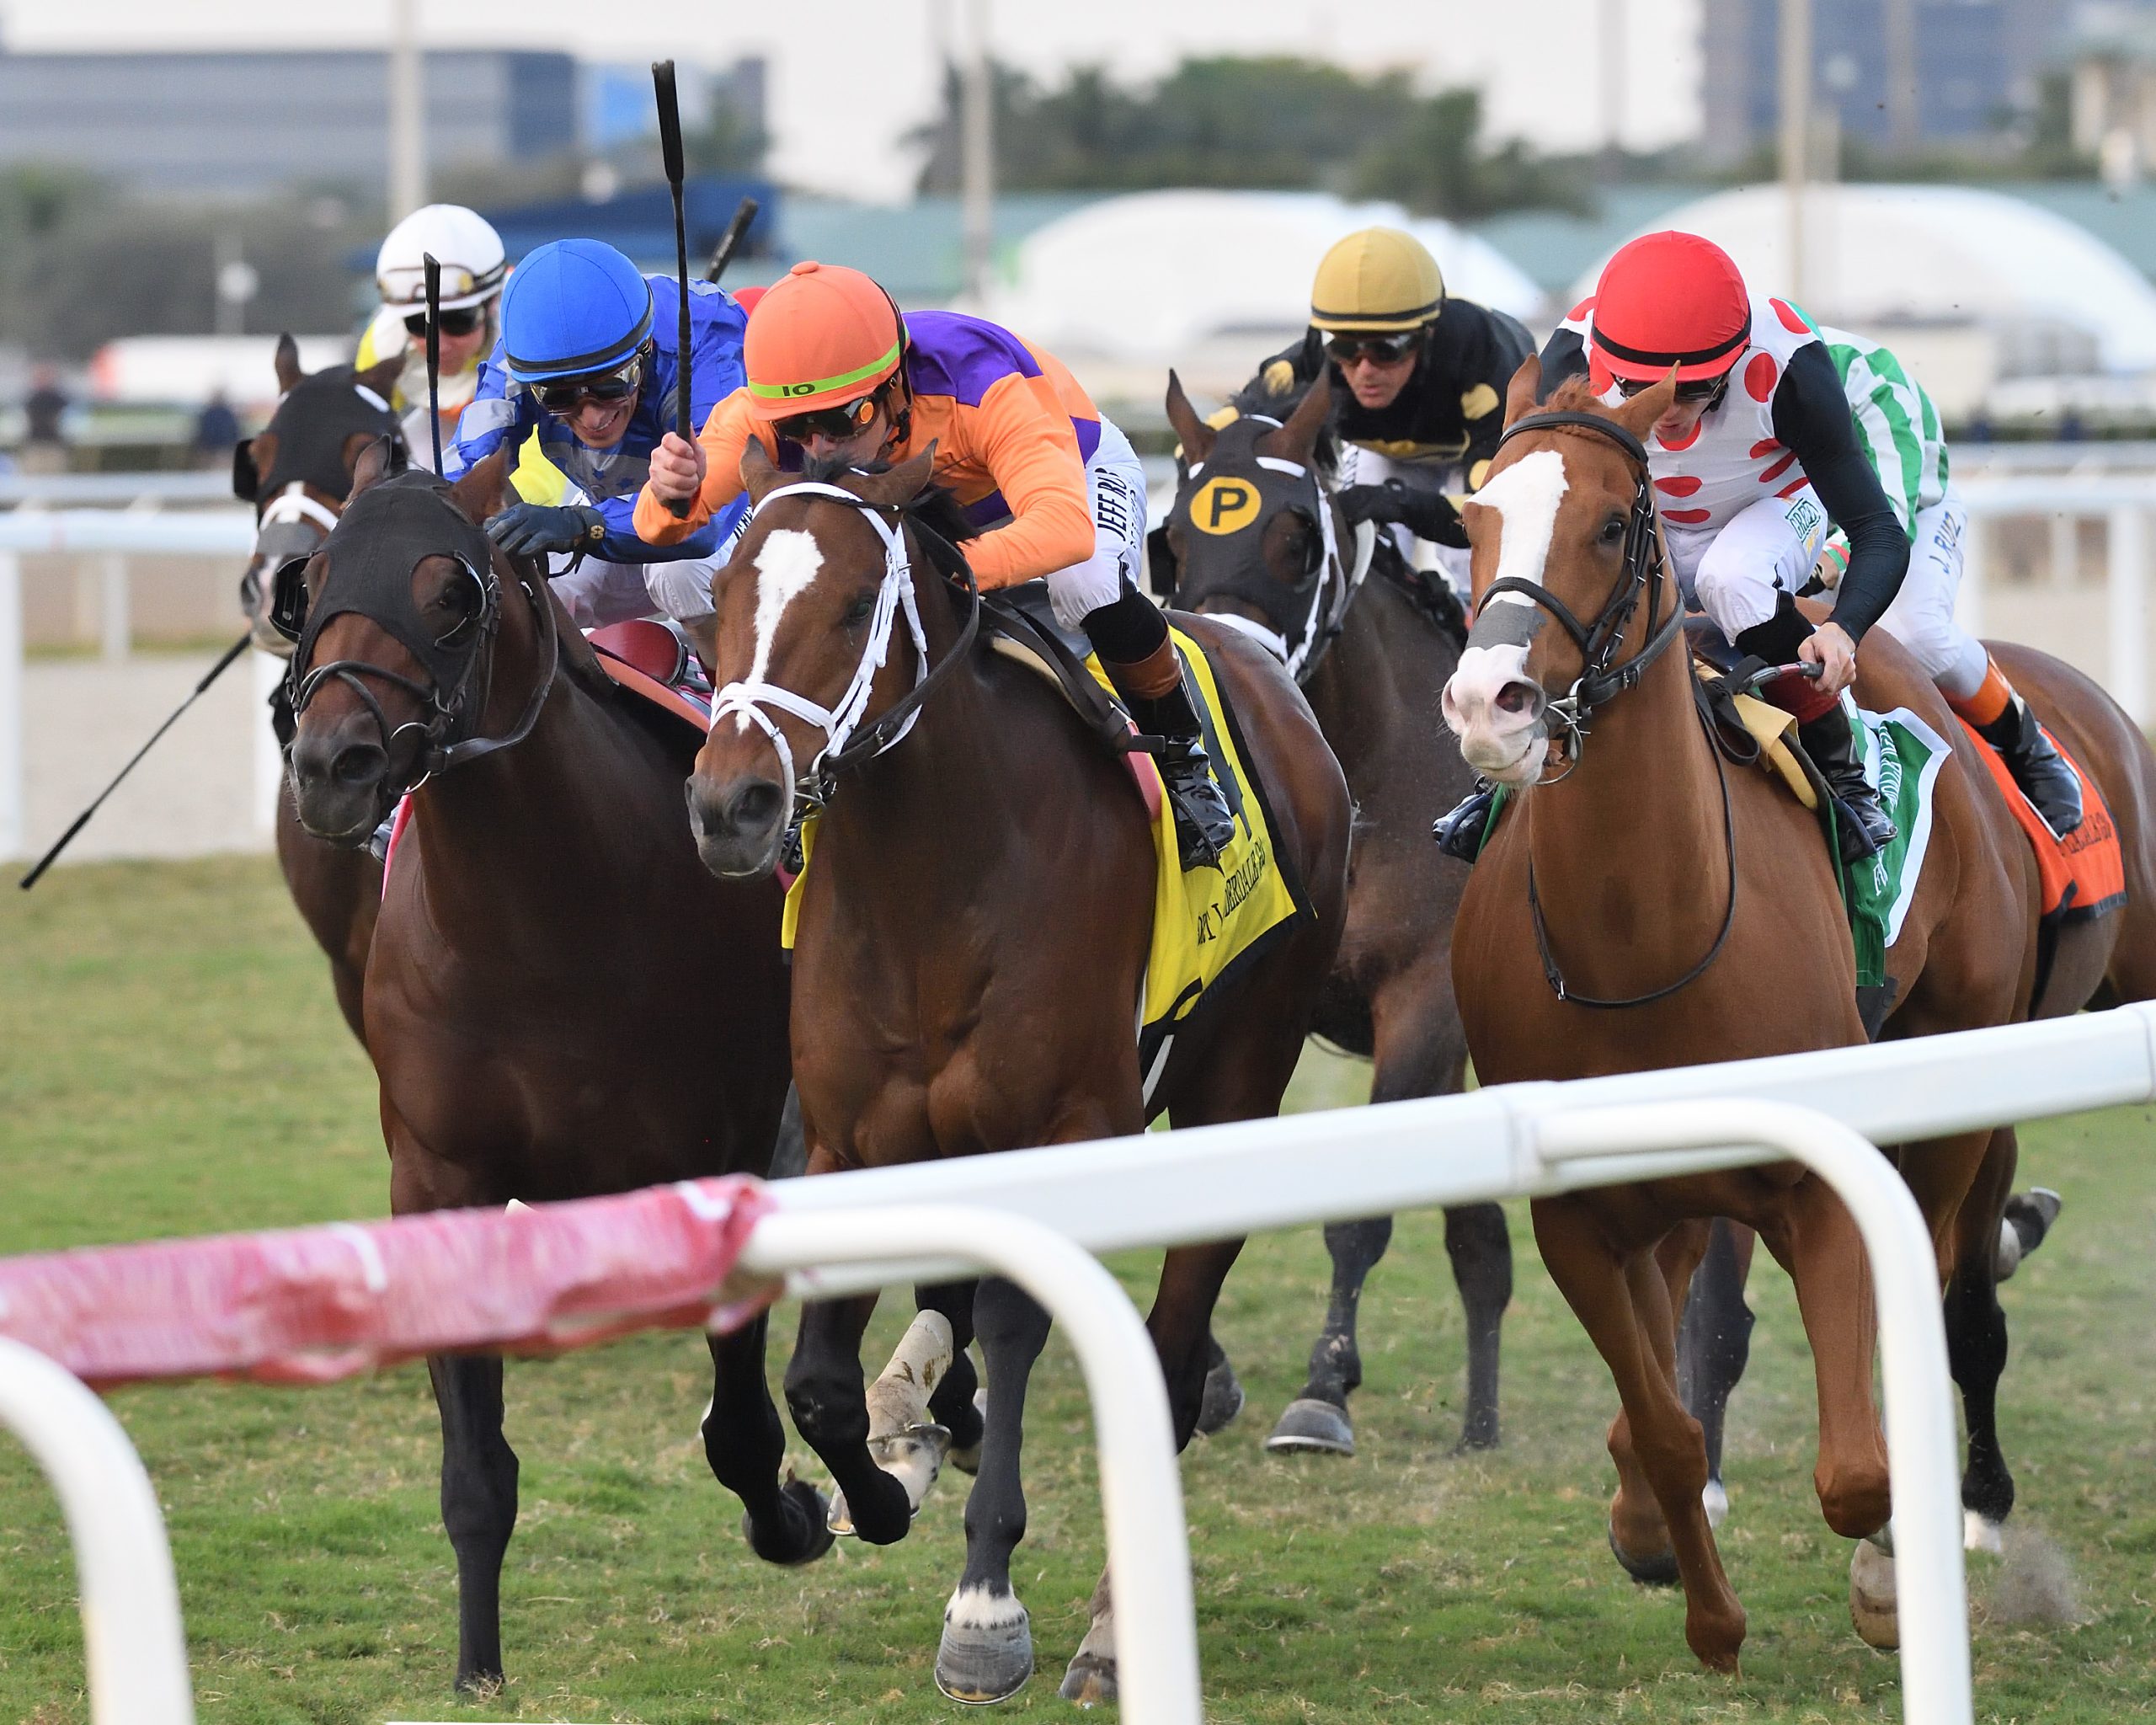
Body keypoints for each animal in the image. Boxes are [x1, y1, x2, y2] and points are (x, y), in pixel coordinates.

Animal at [286, 437, 823, 1690]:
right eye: (313, 580)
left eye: (452, 593)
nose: (331, 762)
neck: (547, 928)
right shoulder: (441, 1179)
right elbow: (476, 1469)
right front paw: (477, 1664)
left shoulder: (721, 1150)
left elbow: (739, 1429)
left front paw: (799, 1514)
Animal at [680, 441, 1353, 1699]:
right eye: (724, 595)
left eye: (858, 601)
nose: (730, 804)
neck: (933, 877)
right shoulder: (847, 1137)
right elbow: (821, 1383)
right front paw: (863, 1494)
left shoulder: (1067, 1127)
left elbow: (1016, 1325)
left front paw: (984, 1607)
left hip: (1239, 1077)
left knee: (1169, 1355)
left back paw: (1110, 1625)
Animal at [1164, 372, 1518, 1457]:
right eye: (1172, 535)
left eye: (1293, 535)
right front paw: (1214, 1373)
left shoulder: (1425, 1000)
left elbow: (1362, 1209)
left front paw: (1322, 1387)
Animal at [1431, 364, 2121, 1673]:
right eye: (1474, 517)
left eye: (1613, 524)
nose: (1490, 704)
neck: (1648, 931)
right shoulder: (1581, 1219)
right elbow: (1660, 1424)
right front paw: (1695, 1596)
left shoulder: (1818, 1181)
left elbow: (1855, 1464)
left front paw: (1889, 1575)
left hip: (1952, 1075)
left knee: (1939, 1281)